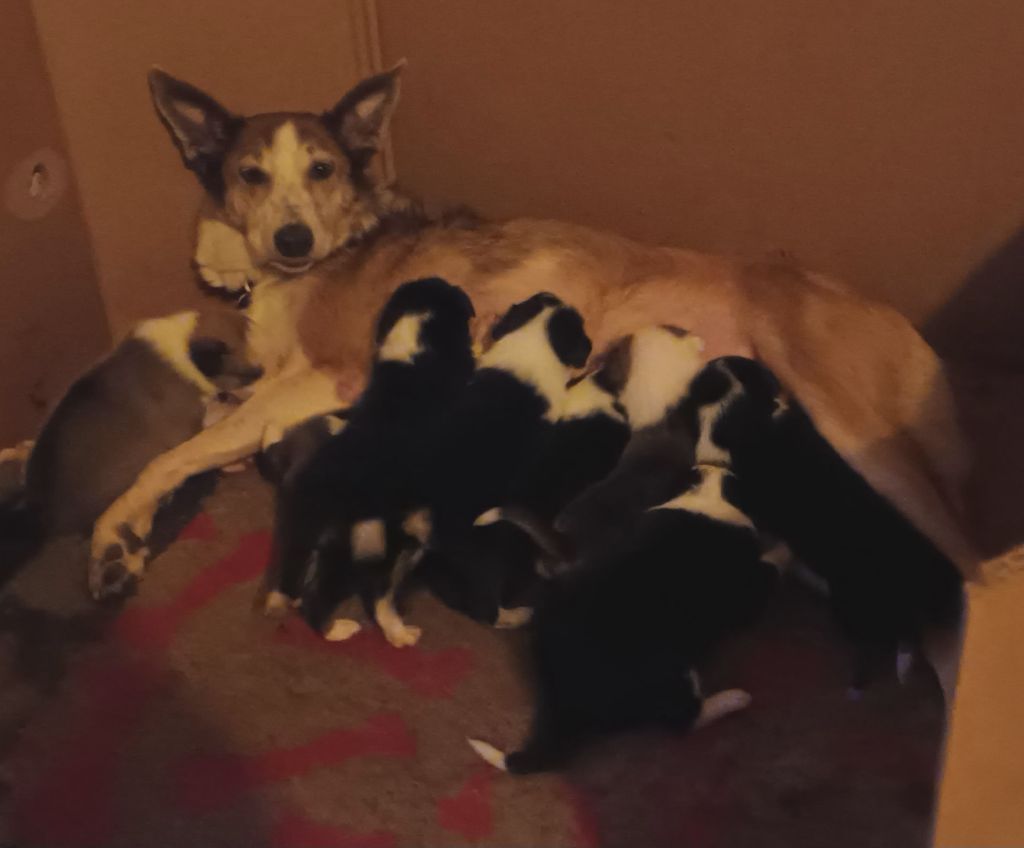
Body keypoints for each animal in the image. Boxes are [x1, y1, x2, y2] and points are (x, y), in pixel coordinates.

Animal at [262, 274, 473, 647]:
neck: (413, 355)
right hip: (372, 547)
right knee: (360, 597)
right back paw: (365, 632)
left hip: (307, 539)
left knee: (296, 581)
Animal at [468, 462, 778, 774]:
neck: (707, 495)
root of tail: (560, 697)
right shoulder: (750, 592)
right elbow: (772, 565)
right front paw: (780, 551)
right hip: (672, 670)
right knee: (685, 719)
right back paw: (736, 697)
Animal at [684, 354, 962, 692]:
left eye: (743, 363)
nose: (716, 360)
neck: (732, 414)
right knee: (900, 633)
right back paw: (897, 667)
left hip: (854, 604)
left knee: (890, 636)